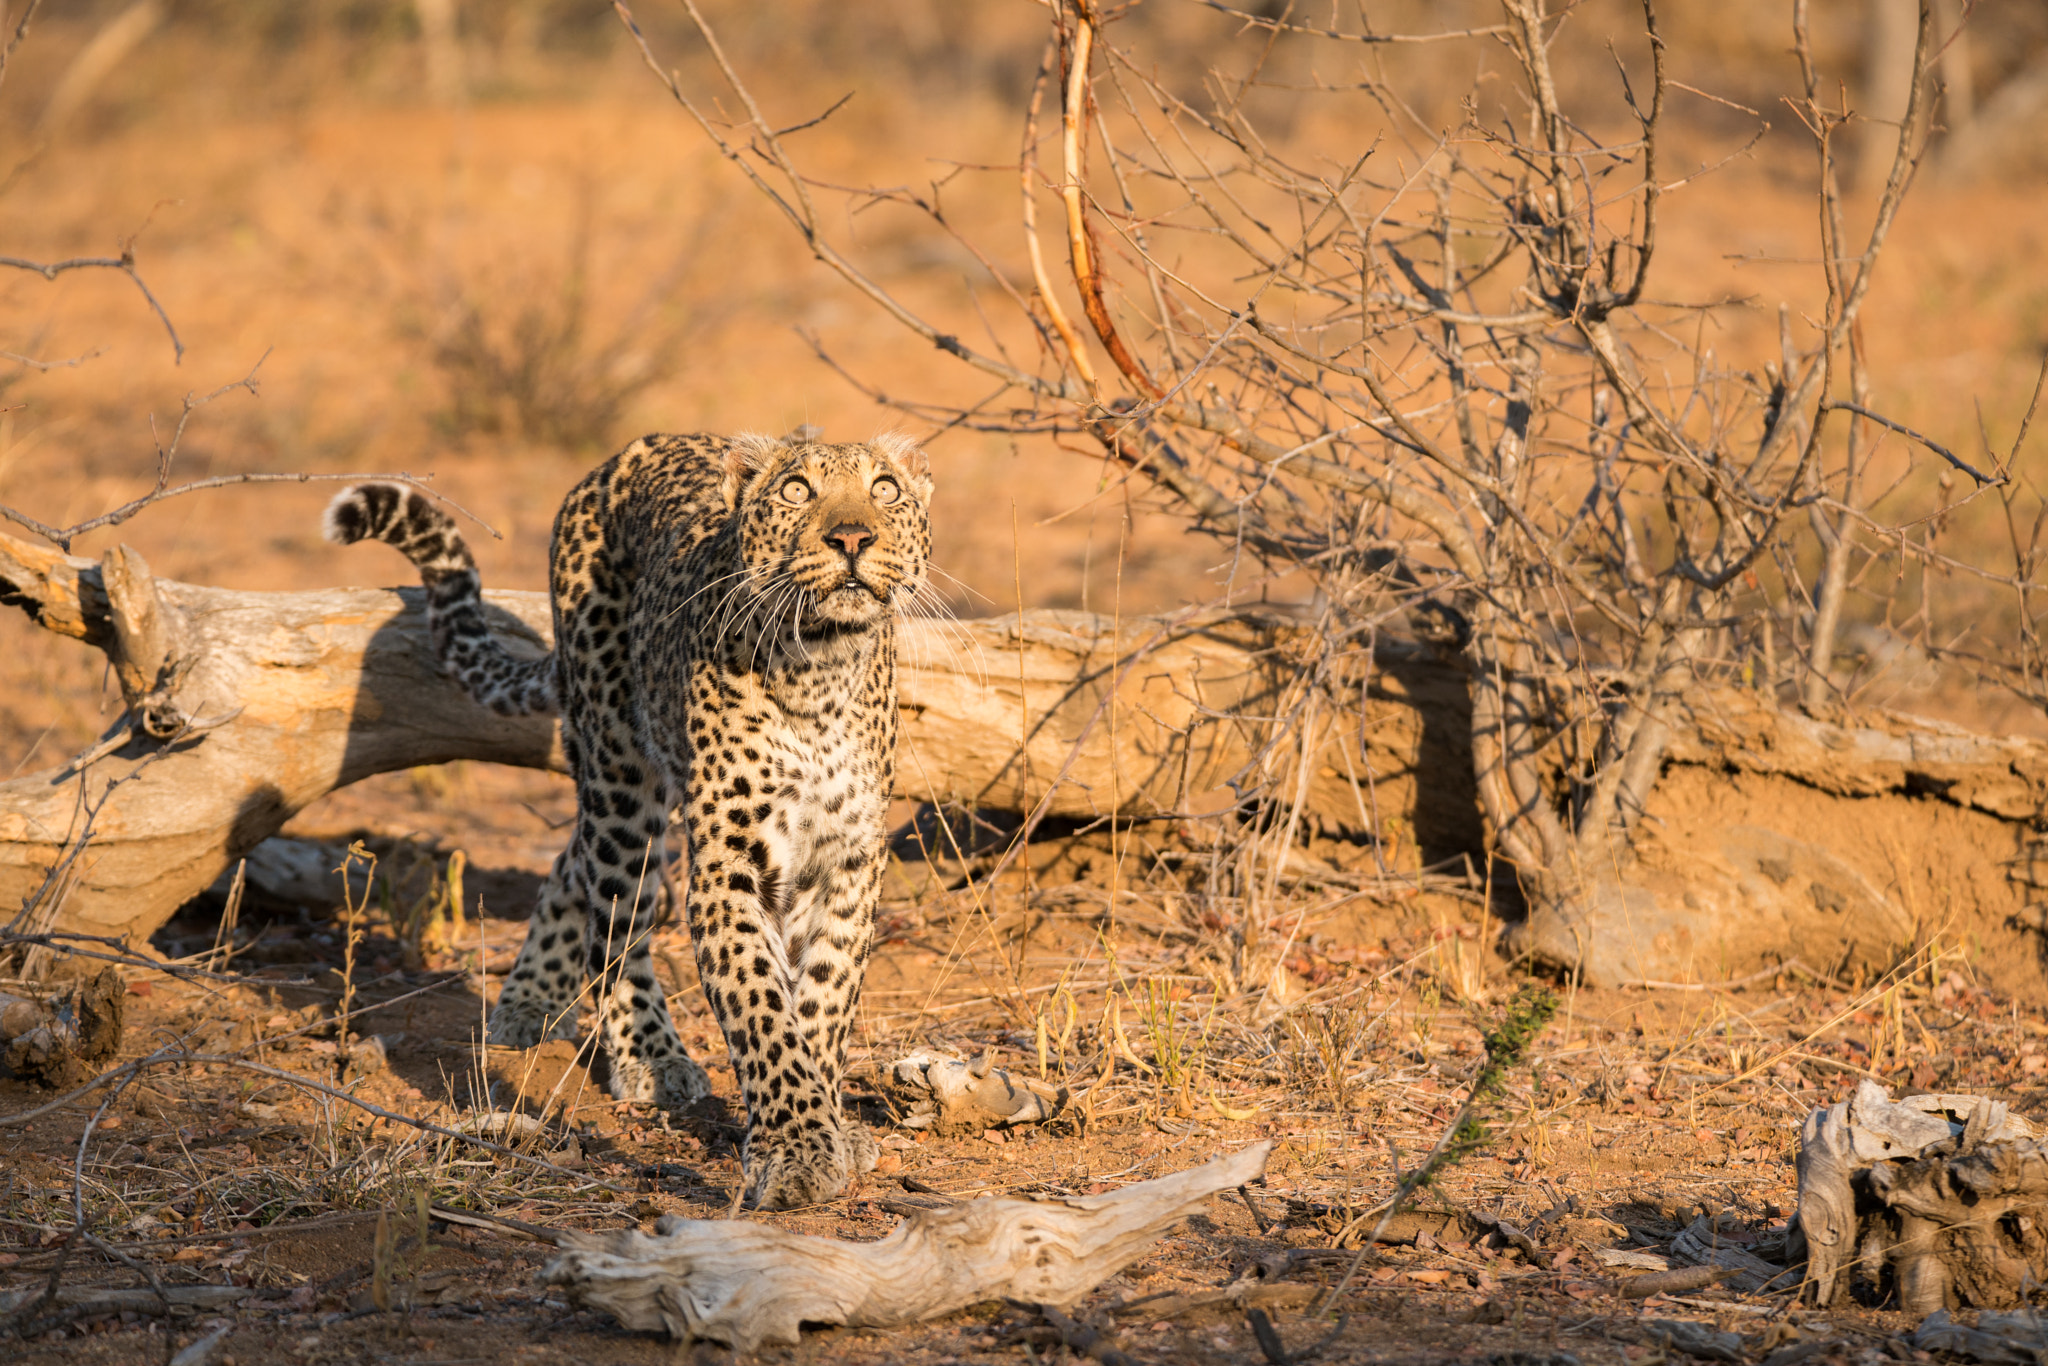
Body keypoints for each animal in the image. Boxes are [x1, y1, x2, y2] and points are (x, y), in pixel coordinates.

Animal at [323, 430, 933, 1204]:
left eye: (885, 488)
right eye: (797, 490)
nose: (852, 536)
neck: (821, 672)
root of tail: (619, 457)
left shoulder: (847, 861)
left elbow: (824, 999)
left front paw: (827, 1125)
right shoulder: (728, 864)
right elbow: (763, 1008)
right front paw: (795, 1150)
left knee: (571, 865)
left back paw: (528, 1003)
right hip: (618, 767)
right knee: (612, 911)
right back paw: (645, 1052)